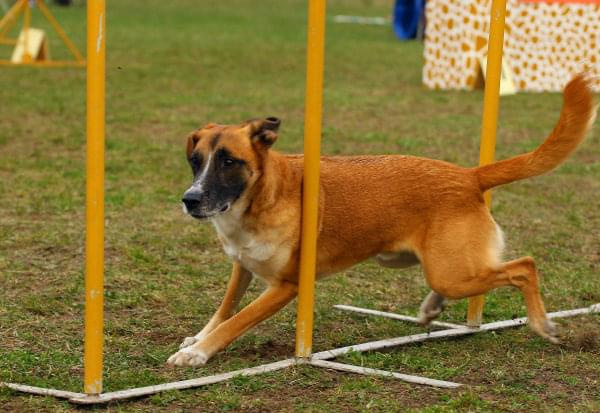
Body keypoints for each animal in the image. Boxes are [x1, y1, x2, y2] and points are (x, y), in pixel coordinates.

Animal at [165, 75, 596, 366]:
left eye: (229, 161)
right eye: (195, 161)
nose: (191, 199)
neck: (260, 198)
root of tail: (469, 174)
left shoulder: (286, 286)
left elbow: (236, 322)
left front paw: (199, 353)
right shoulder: (242, 267)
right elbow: (224, 311)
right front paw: (197, 339)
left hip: (452, 271)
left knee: (524, 266)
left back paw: (542, 325)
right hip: (439, 265)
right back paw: (432, 308)